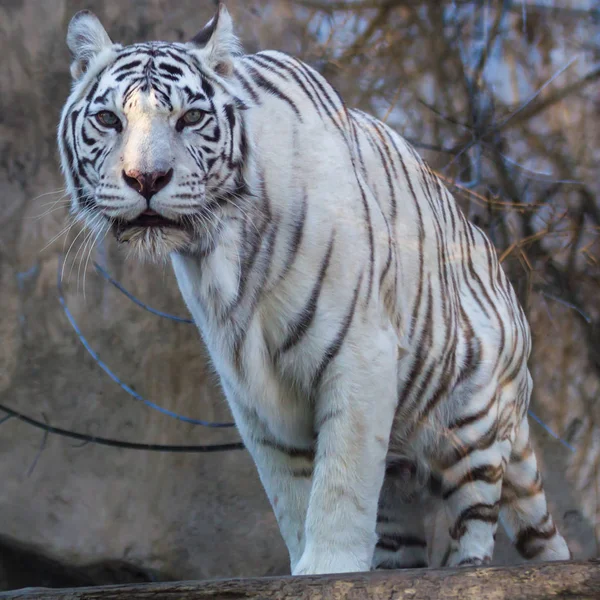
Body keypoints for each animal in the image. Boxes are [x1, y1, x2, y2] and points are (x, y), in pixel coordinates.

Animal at [58, 4, 568, 576]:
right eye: (109, 120)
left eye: (189, 118)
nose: (146, 178)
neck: (221, 255)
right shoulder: (251, 392)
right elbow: (291, 492)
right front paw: (309, 561)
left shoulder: (361, 353)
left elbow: (342, 476)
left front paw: (329, 568)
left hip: (471, 418)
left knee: (475, 513)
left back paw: (468, 566)